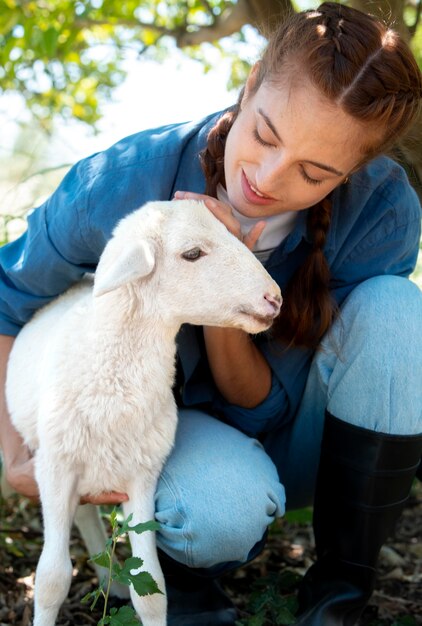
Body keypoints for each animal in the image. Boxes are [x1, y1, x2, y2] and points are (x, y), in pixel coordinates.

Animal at [4, 199, 282, 624]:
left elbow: (151, 588)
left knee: (84, 517)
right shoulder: (54, 467)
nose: (274, 298)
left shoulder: (141, 476)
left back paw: (110, 583)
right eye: (192, 254)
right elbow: (51, 579)